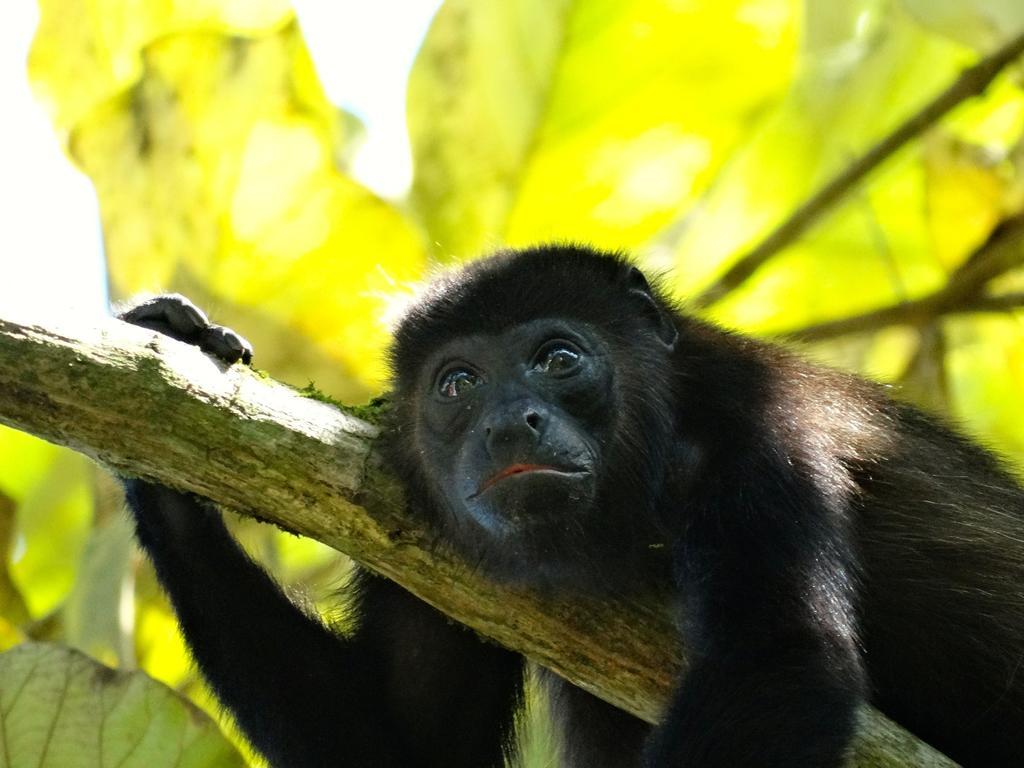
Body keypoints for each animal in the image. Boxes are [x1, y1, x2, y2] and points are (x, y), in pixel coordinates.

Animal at [117, 247, 1024, 768]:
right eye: (458, 384)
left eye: (558, 359)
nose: (508, 421)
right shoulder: (414, 513)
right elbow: (410, 745)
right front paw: (156, 441)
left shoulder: (762, 437)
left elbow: (778, 660)